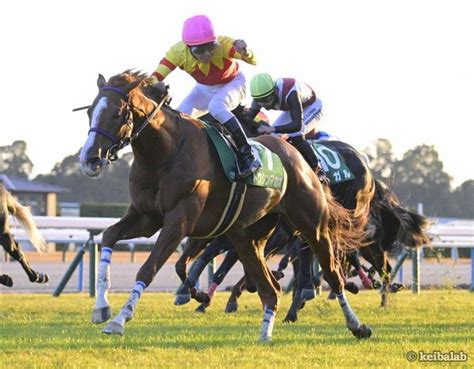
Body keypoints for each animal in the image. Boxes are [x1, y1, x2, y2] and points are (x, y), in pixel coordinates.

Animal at [79, 69, 370, 340]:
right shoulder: (146, 217)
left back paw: (357, 325)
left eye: (116, 114)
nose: (89, 159)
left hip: (311, 226)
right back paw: (265, 333)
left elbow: (148, 268)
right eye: (90, 112)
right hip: (248, 237)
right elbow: (109, 236)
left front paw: (120, 319)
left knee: (332, 276)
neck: (165, 153)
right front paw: (101, 308)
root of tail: (299, 157)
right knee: (270, 290)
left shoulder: (180, 220)